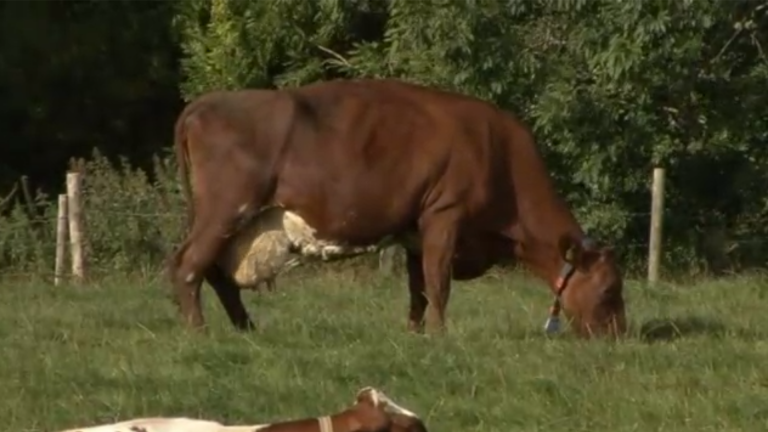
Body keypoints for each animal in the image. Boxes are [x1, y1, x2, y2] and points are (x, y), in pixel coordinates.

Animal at [170, 79, 632, 340]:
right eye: (610, 289)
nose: (620, 336)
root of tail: (203, 104)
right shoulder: (445, 214)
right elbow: (438, 282)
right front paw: (442, 337)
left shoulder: (414, 229)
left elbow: (418, 288)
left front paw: (415, 333)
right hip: (225, 210)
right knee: (189, 265)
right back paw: (199, 332)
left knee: (215, 273)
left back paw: (244, 329)